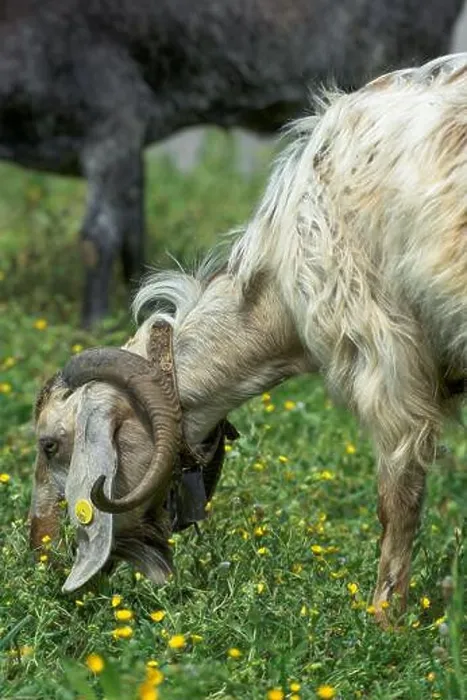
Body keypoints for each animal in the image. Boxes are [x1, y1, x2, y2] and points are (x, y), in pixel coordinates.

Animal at [30, 54, 466, 621]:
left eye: (51, 444)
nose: (37, 550)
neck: (276, 283)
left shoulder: (386, 360)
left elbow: (399, 500)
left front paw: (384, 619)